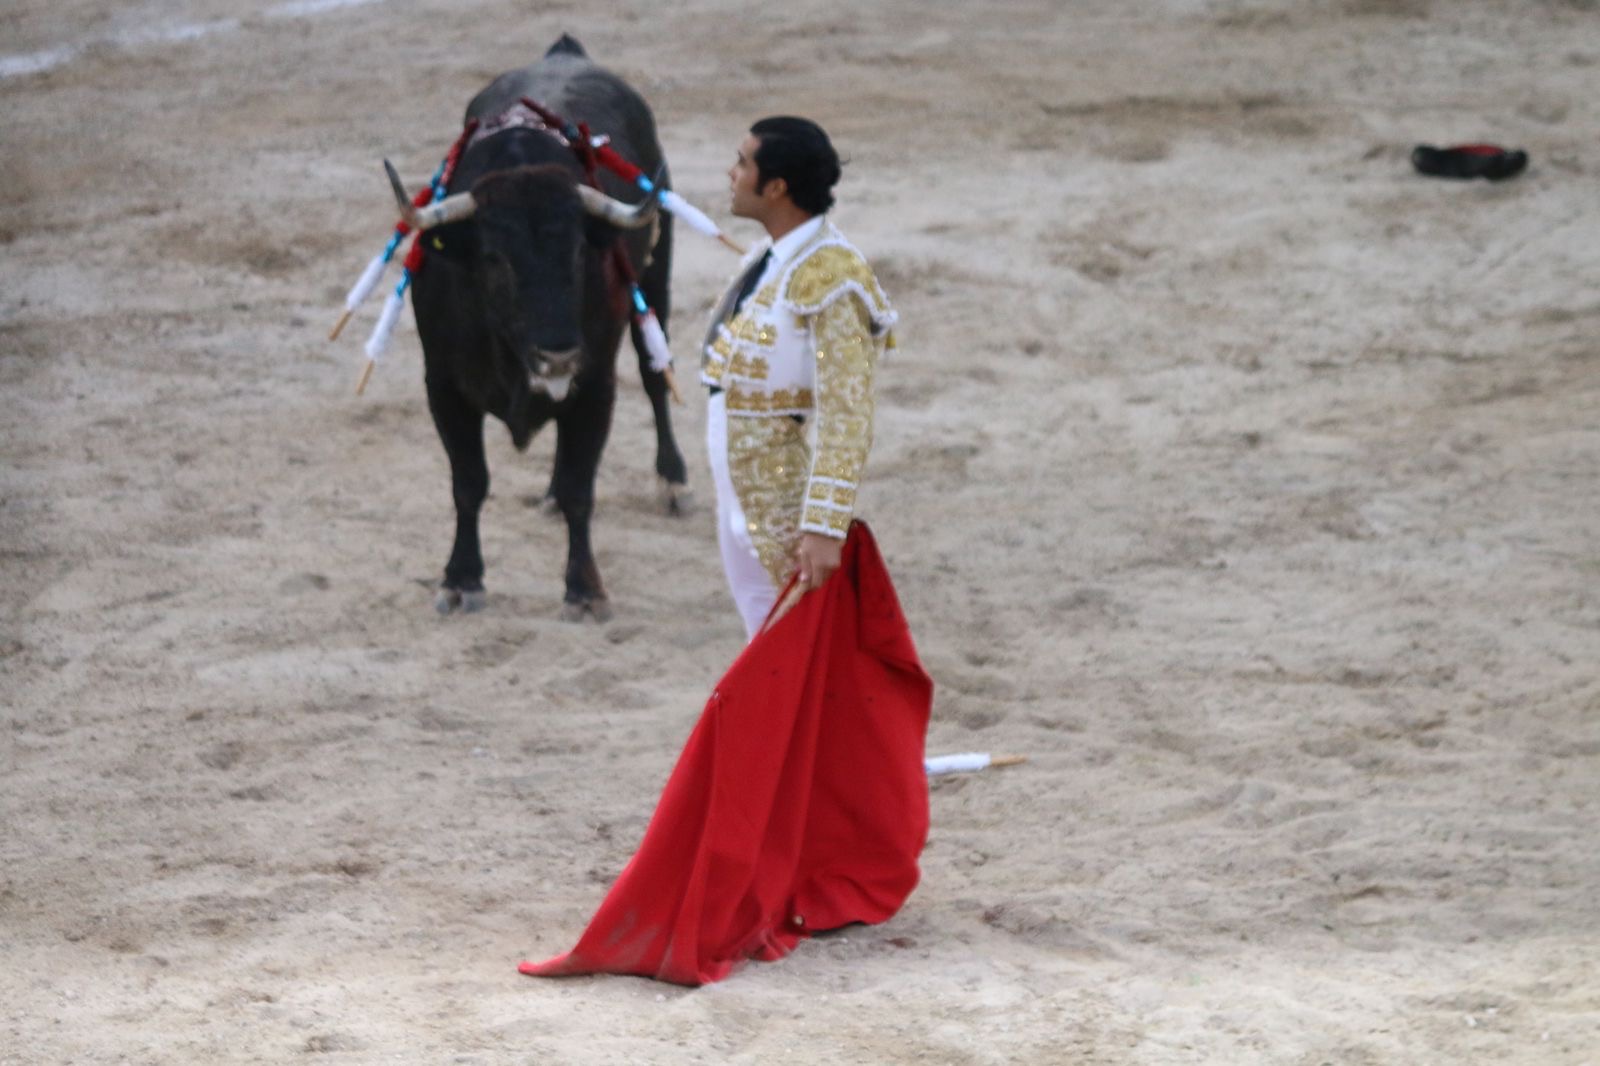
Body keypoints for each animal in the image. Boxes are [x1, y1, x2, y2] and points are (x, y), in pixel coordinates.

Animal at [398, 35, 681, 614]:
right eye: (493, 258)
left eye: (577, 251)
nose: (558, 355)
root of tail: (565, 53)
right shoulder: (443, 387)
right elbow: (469, 483)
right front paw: (460, 579)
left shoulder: (595, 385)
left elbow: (580, 488)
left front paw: (585, 589)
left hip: (657, 273)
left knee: (653, 372)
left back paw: (670, 480)